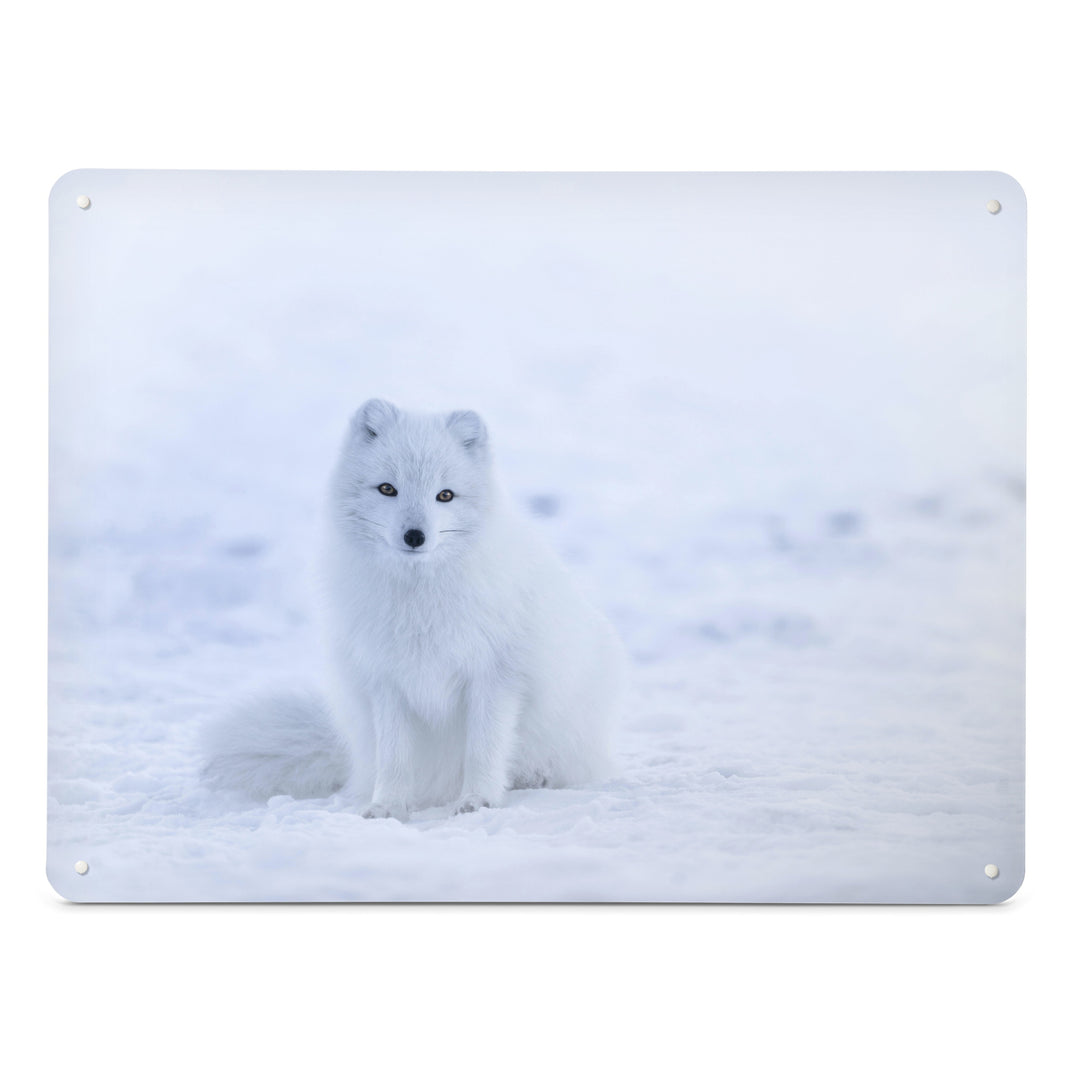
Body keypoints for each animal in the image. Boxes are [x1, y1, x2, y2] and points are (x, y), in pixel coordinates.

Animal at [202, 399, 626, 819]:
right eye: (388, 488)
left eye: (445, 495)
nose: (415, 536)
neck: (419, 599)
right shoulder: (386, 680)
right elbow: (394, 757)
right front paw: (387, 806)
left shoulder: (496, 675)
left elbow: (484, 749)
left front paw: (478, 800)